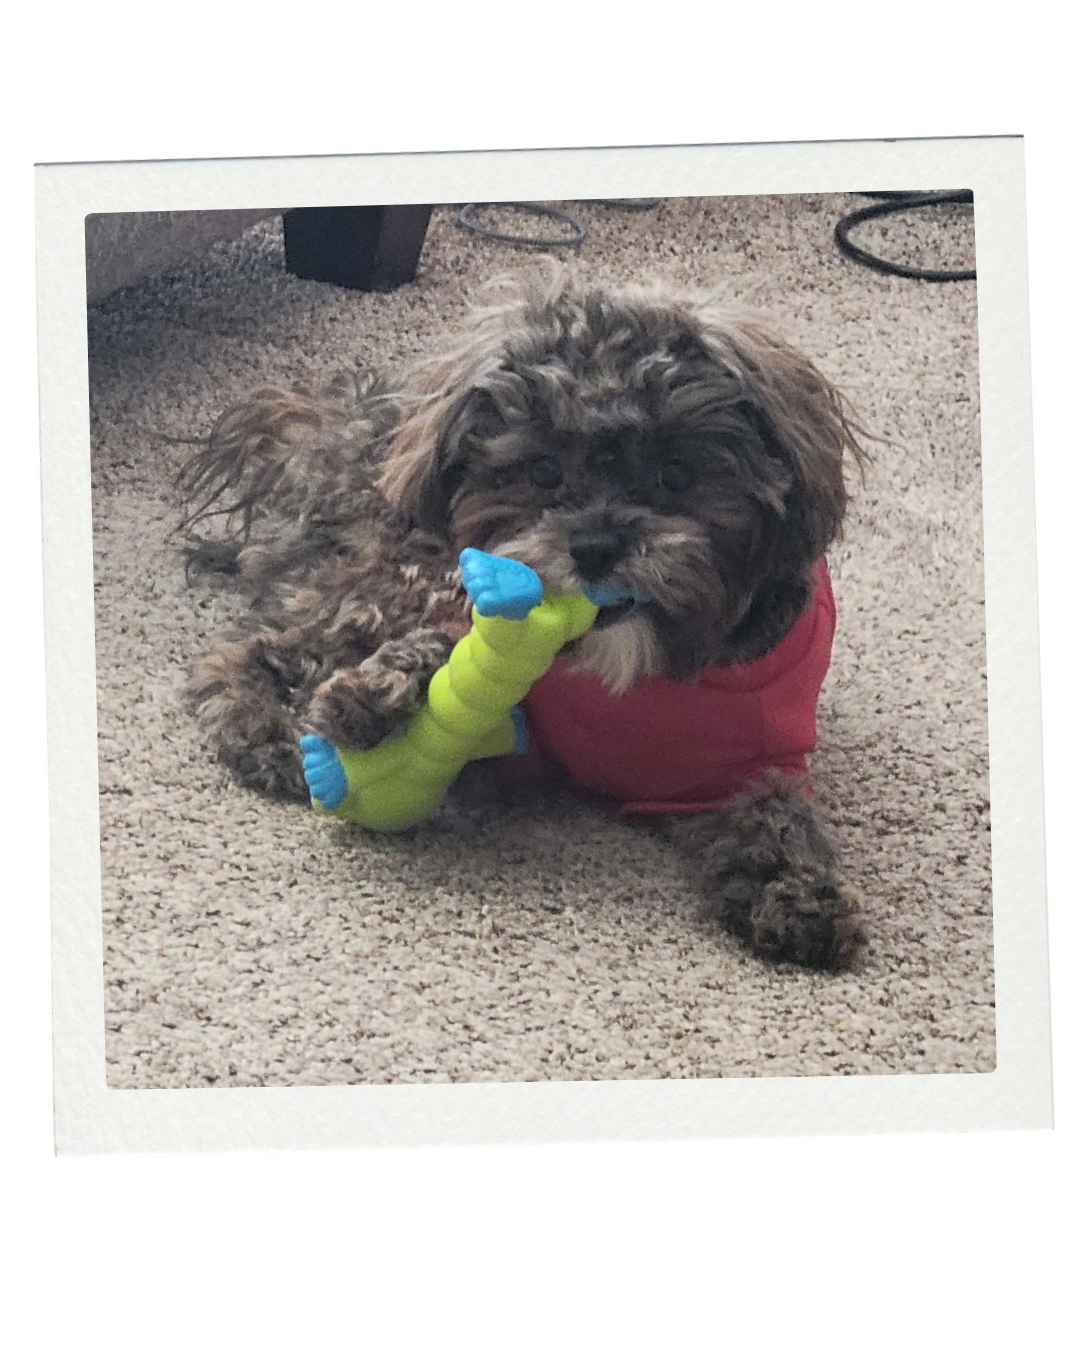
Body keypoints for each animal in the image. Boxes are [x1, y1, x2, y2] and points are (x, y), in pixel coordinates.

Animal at [179, 269, 872, 969]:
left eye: (677, 474)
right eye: (542, 470)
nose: (595, 545)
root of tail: (351, 423)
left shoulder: (752, 761)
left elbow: (777, 816)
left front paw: (797, 891)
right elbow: (448, 668)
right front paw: (372, 698)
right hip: (412, 572)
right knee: (255, 647)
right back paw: (263, 730)